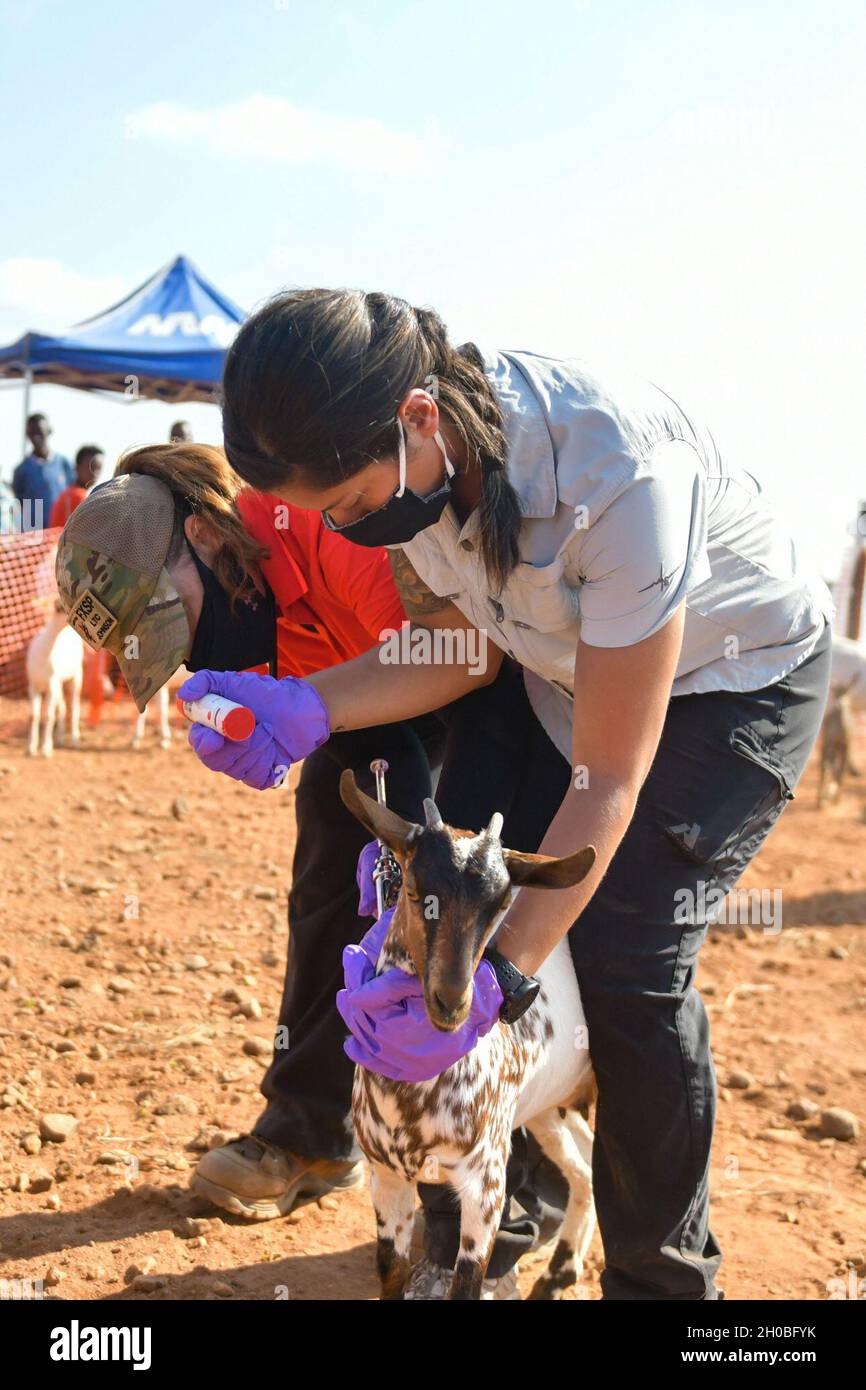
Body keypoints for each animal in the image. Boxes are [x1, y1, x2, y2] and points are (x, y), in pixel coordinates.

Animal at [26, 606, 83, 761]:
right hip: (59, 683)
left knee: (74, 705)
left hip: (76, 675)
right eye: (59, 608)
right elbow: (34, 716)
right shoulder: (33, 686)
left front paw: (46, 749)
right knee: (62, 706)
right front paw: (31, 748)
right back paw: (59, 739)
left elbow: (48, 717)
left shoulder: (51, 687)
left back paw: (75, 740)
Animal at [341, 772, 600, 1301]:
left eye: (501, 904)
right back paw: (559, 1273)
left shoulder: (485, 1186)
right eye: (414, 888)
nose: (453, 1000)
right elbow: (390, 1272)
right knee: (585, 1166)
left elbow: (467, 1284)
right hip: (547, 1107)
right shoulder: (387, 1177)